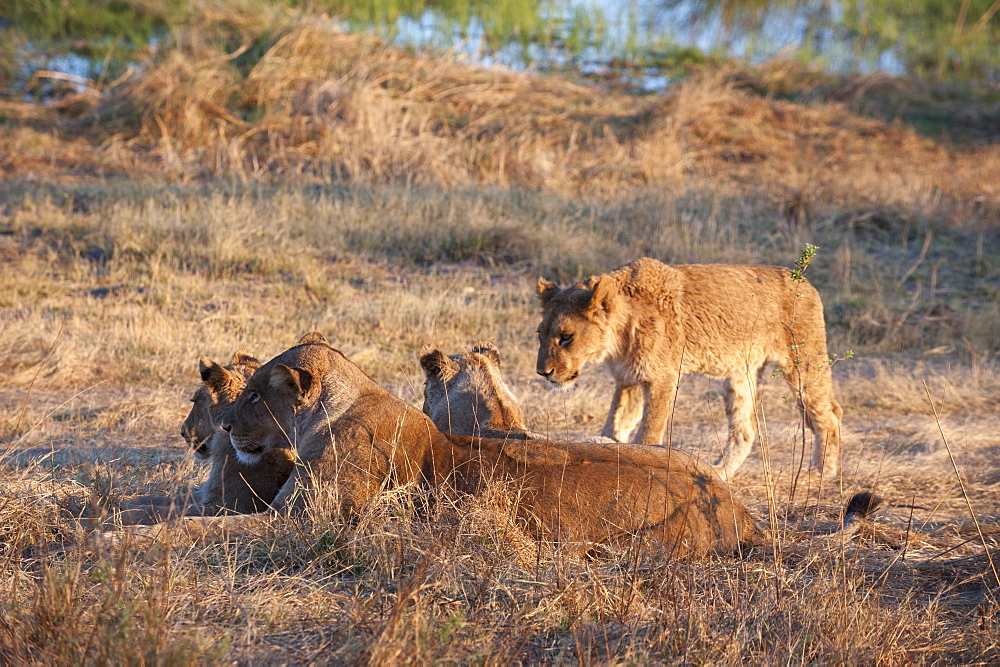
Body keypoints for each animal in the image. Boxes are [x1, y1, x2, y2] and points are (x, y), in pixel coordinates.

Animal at [540, 258, 844, 480]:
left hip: (803, 362)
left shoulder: (661, 377)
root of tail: (804, 280)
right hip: (740, 374)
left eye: (566, 337)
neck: (618, 335)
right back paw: (720, 472)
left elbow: (649, 432)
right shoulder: (630, 379)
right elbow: (616, 424)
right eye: (540, 334)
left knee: (830, 414)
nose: (543, 372)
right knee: (745, 429)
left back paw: (820, 473)